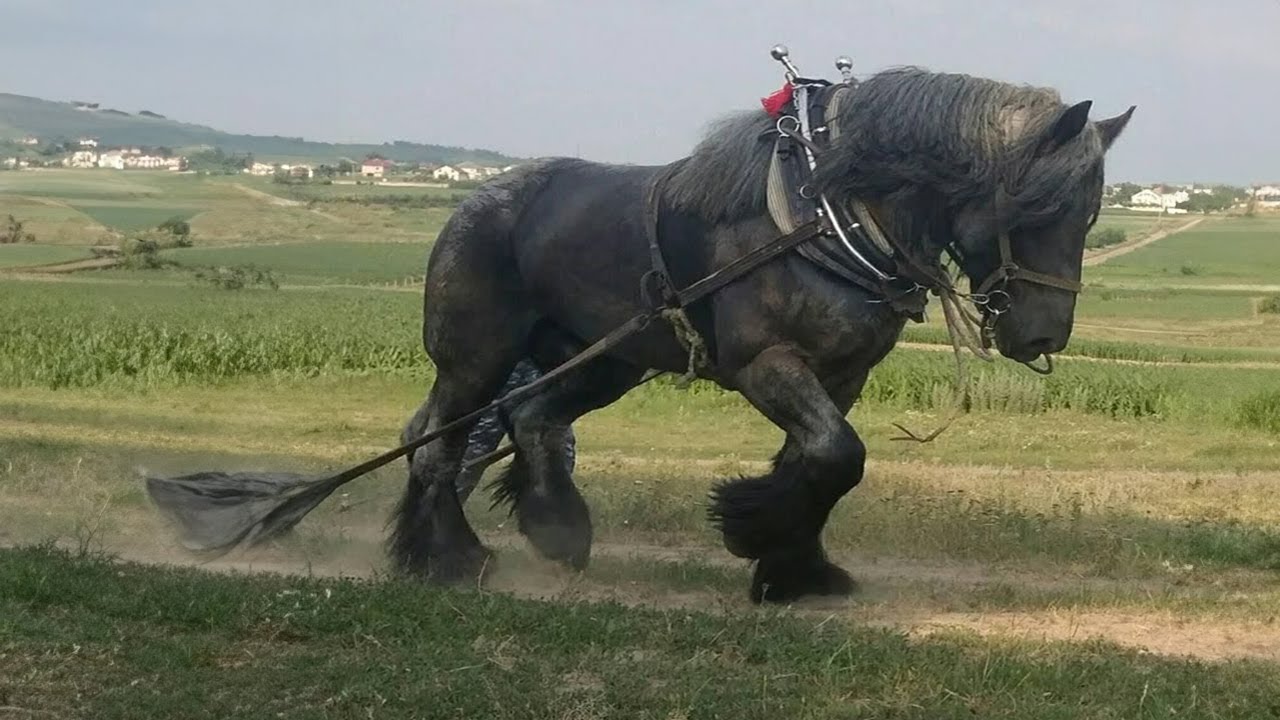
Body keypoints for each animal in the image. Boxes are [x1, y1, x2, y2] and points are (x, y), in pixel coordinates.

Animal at [384, 65, 1135, 604]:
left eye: (1090, 216)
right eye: (1032, 209)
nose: (1045, 336)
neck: (828, 214)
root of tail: (481, 198)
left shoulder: (843, 374)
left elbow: (817, 462)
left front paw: (791, 565)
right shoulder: (764, 362)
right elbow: (839, 454)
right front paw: (758, 535)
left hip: (600, 359)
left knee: (533, 419)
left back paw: (558, 533)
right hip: (475, 358)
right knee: (436, 445)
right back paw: (451, 556)